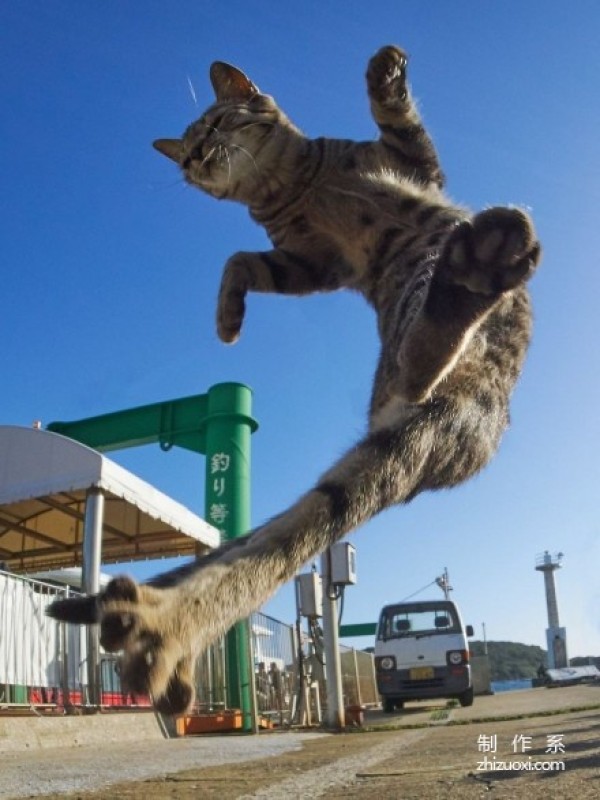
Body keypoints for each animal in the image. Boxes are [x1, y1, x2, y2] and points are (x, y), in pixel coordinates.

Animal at [49, 47, 540, 716]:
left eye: (213, 127)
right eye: (188, 154)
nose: (198, 161)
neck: (287, 185)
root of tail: (448, 423)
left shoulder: (413, 170)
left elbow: (402, 123)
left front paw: (385, 72)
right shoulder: (306, 261)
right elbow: (239, 261)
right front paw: (227, 320)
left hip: (421, 269)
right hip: (405, 324)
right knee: (413, 368)